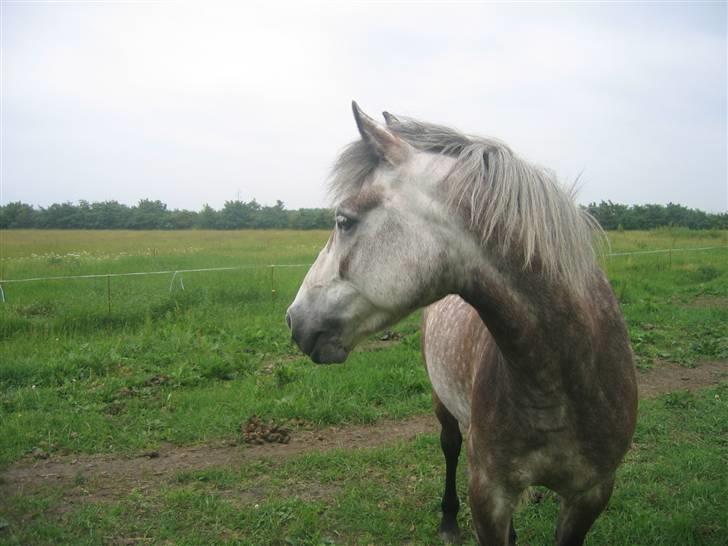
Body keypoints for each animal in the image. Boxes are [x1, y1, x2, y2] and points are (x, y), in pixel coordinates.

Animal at [284, 103, 636, 544]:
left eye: (344, 220)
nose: (294, 318)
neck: (558, 378)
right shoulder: (488, 493)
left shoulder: (590, 493)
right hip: (444, 406)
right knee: (450, 446)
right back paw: (449, 520)